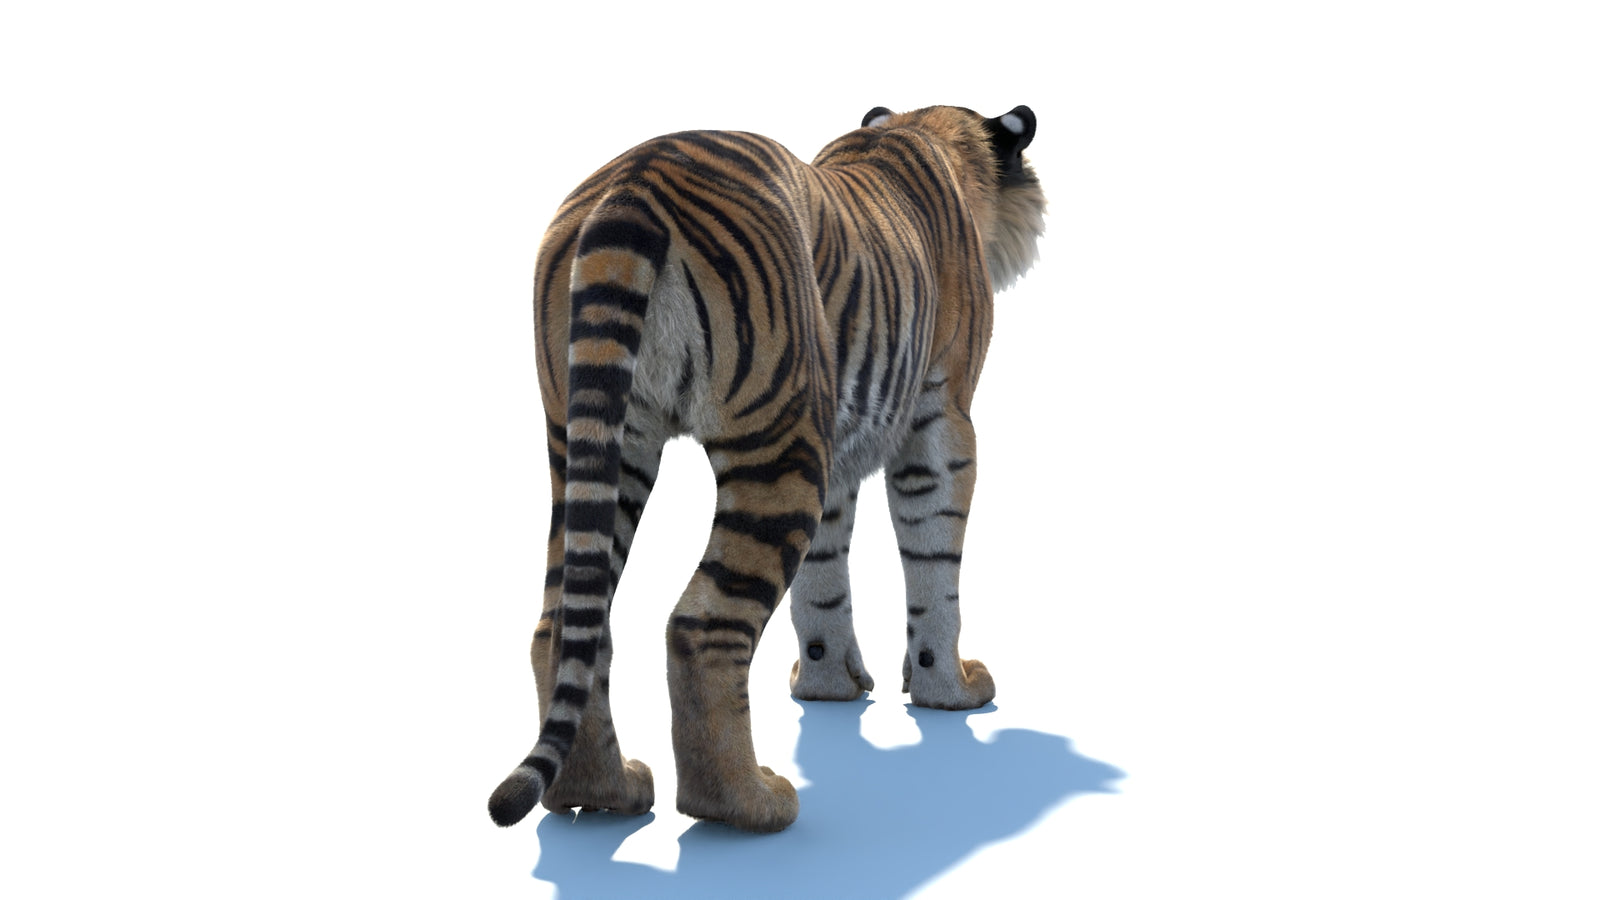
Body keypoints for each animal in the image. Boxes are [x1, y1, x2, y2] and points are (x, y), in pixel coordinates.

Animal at [488, 104, 1046, 833]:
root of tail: (634, 181)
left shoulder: (836, 445)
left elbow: (822, 582)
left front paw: (829, 685)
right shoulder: (941, 420)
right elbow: (934, 569)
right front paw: (949, 690)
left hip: (595, 437)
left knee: (564, 623)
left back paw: (604, 791)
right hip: (779, 438)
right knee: (700, 626)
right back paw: (749, 804)